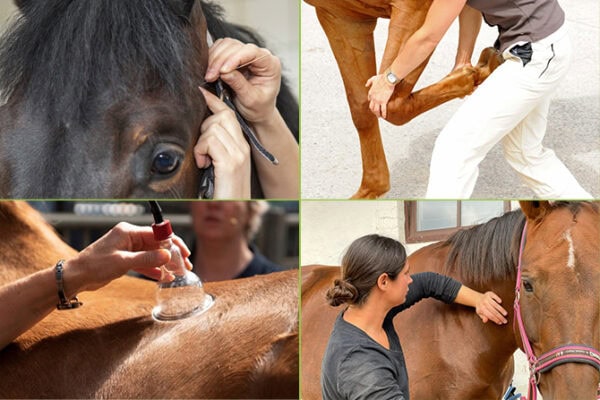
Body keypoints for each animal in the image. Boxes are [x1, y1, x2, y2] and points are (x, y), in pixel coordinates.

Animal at [302, 0, 504, 198]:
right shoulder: (342, 18)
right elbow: (361, 107)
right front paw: (372, 188)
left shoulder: (413, 11)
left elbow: (393, 104)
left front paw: (479, 71)